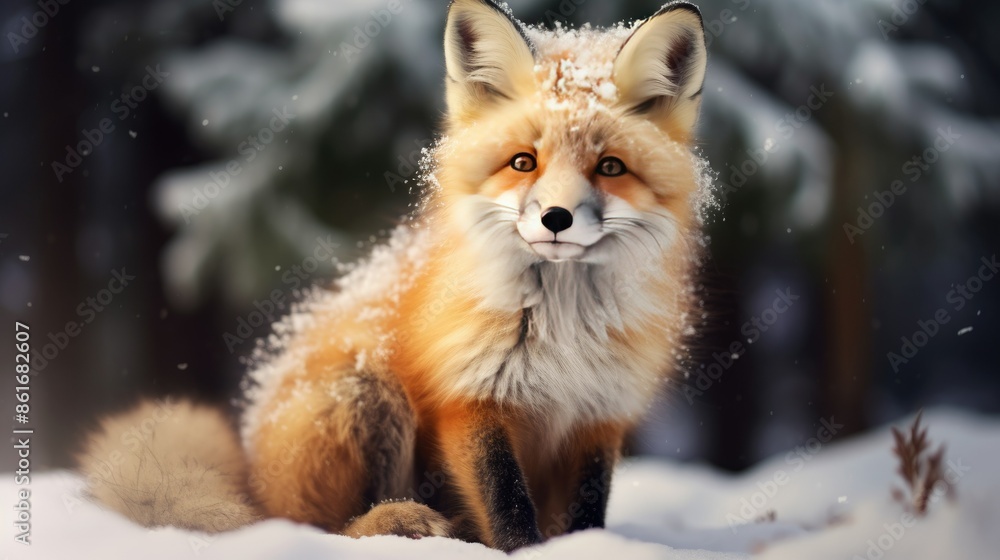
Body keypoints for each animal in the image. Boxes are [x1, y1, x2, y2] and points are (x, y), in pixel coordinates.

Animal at [79, 0, 712, 552]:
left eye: (610, 167)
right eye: (523, 162)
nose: (556, 219)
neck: (563, 333)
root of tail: (253, 473)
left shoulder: (599, 416)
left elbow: (585, 511)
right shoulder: (470, 398)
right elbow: (507, 506)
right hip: (365, 391)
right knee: (318, 528)